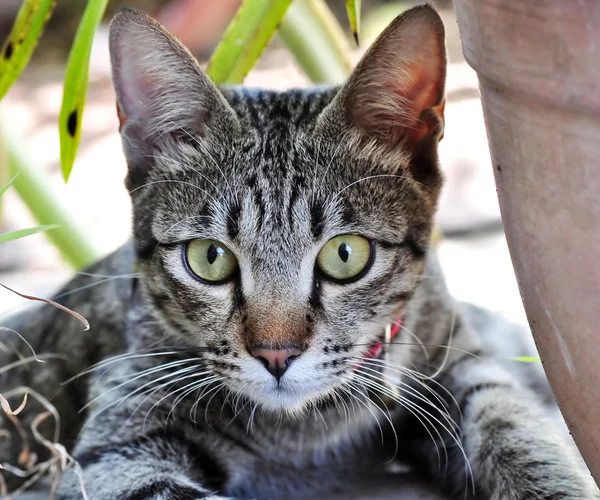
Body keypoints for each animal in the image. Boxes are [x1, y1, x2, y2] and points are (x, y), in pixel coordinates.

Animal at [1, 4, 600, 500]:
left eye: (345, 255)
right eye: (209, 258)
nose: (276, 355)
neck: (309, 429)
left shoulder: (462, 364)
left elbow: (520, 432)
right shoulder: (120, 442)